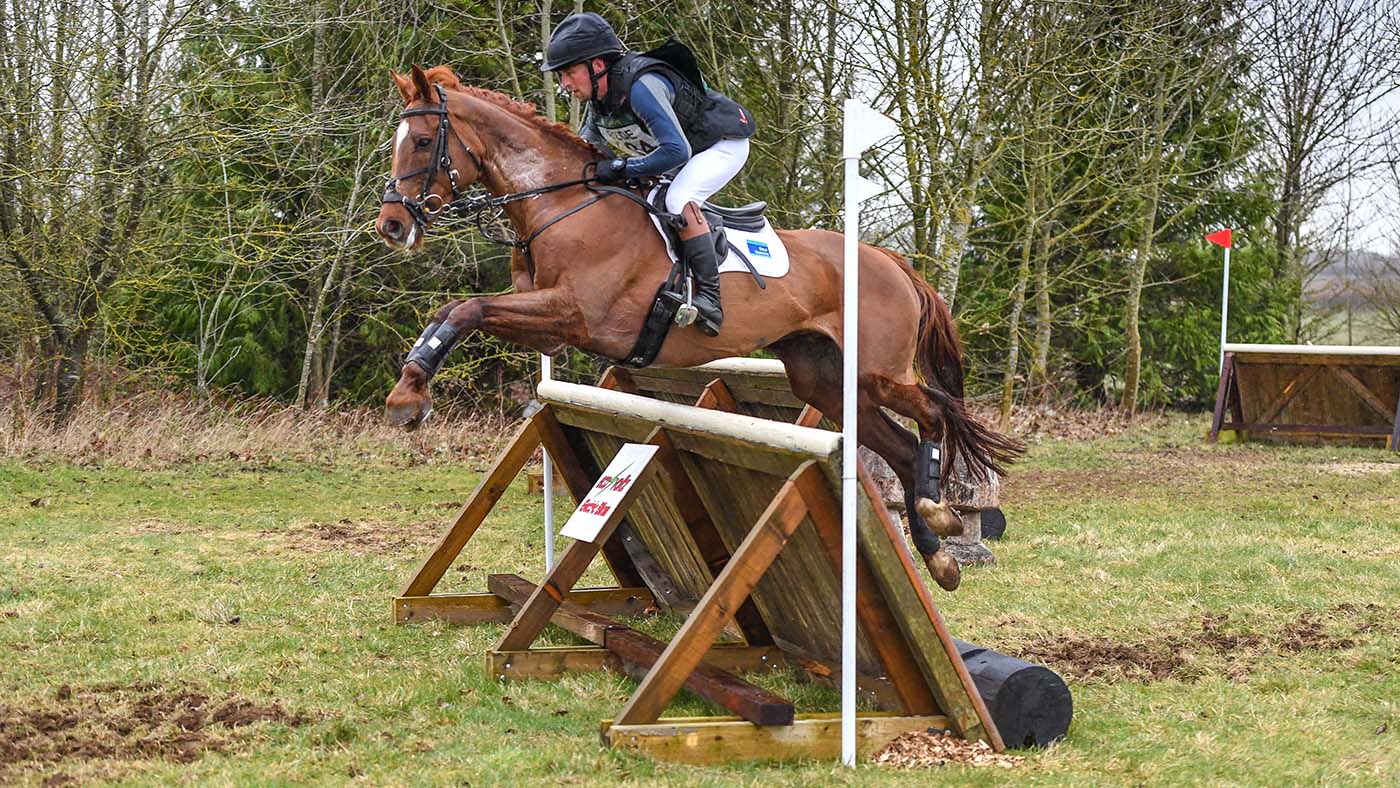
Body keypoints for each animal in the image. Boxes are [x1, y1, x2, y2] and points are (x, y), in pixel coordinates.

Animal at [375, 65, 1022, 591]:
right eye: (397, 142)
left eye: (425, 141)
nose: (391, 226)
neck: (561, 205)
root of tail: (889, 260)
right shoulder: (548, 328)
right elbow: (456, 312)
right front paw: (408, 392)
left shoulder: (574, 315)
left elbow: (464, 309)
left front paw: (408, 396)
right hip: (827, 379)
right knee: (905, 451)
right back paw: (939, 558)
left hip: (878, 370)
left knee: (934, 411)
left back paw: (939, 520)